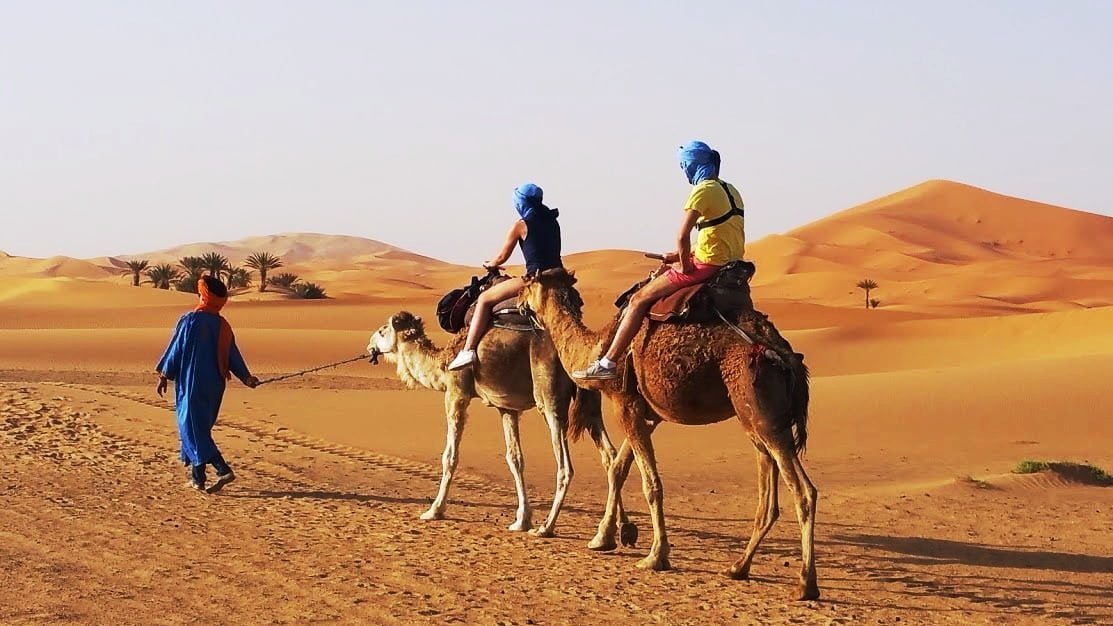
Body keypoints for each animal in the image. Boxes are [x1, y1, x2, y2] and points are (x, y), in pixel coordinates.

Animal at [369, 307, 632, 536]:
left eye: (383, 330)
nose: (370, 345)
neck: (443, 363)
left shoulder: (456, 393)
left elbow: (450, 456)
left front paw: (434, 510)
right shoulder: (506, 408)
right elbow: (515, 458)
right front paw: (521, 520)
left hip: (549, 400)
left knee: (565, 465)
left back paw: (547, 527)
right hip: (590, 402)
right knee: (610, 456)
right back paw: (614, 530)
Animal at [518, 269, 819, 601]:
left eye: (526, 284)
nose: (518, 302)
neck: (598, 345)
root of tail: (786, 356)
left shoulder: (624, 403)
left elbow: (650, 483)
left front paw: (655, 556)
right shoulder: (647, 412)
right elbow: (618, 469)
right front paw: (604, 537)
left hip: (761, 412)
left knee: (804, 491)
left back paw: (805, 584)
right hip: (759, 418)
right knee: (770, 493)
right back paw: (738, 567)